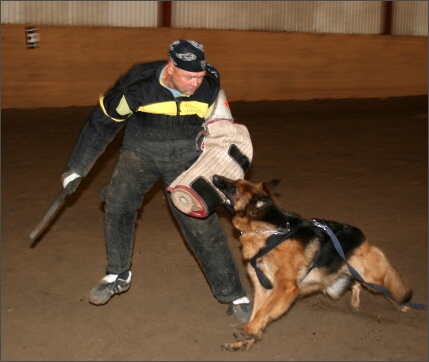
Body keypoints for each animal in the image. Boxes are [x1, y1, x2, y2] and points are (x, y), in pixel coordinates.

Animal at [212, 175, 412, 350]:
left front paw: (248, 332)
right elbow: (257, 313)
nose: (215, 177)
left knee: (387, 287)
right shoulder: (263, 288)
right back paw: (355, 302)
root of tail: (362, 238)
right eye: (236, 181)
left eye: (234, 188)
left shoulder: (286, 287)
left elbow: (263, 311)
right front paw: (246, 339)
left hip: (371, 279)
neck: (270, 232)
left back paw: (403, 305)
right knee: (356, 283)